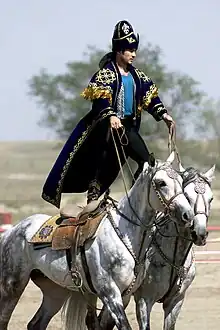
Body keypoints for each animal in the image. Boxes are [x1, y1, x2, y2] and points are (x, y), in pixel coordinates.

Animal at [0, 152, 193, 330]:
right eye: (161, 183)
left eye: (181, 181)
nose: (187, 215)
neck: (125, 234)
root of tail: (12, 231)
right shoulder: (110, 293)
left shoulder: (125, 295)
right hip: (12, 287)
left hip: (55, 291)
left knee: (36, 324)